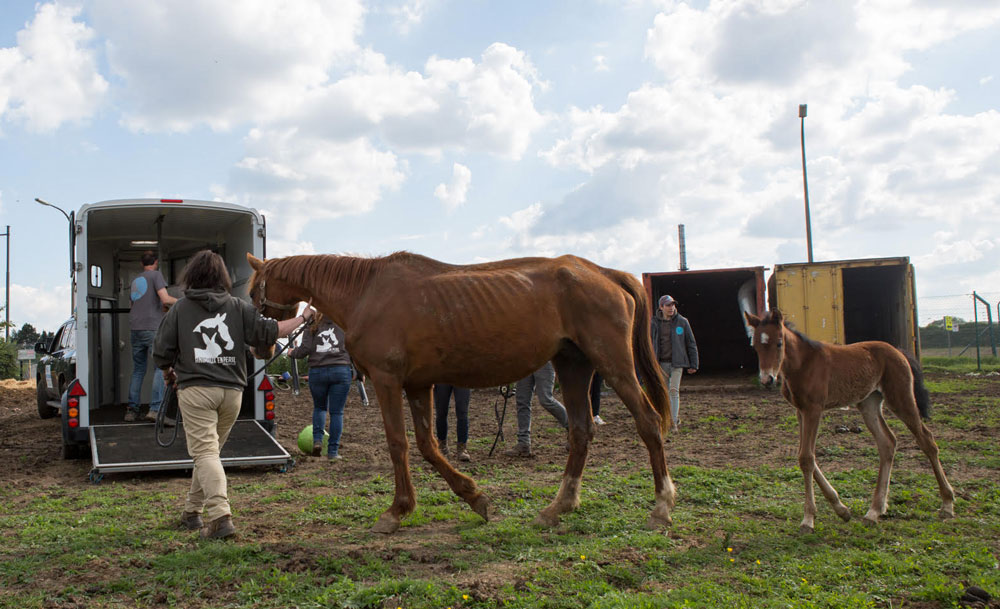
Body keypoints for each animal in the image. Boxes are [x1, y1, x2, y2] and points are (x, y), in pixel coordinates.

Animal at [748, 308, 956, 532]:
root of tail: (899, 351)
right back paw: (874, 511)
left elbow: (806, 458)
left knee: (927, 440)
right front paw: (841, 509)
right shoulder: (800, 410)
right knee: (888, 443)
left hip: (901, 399)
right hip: (869, 403)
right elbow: (805, 456)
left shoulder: (813, 409)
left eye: (779, 343)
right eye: (756, 346)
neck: (803, 363)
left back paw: (947, 504)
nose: (767, 379)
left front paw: (808, 519)